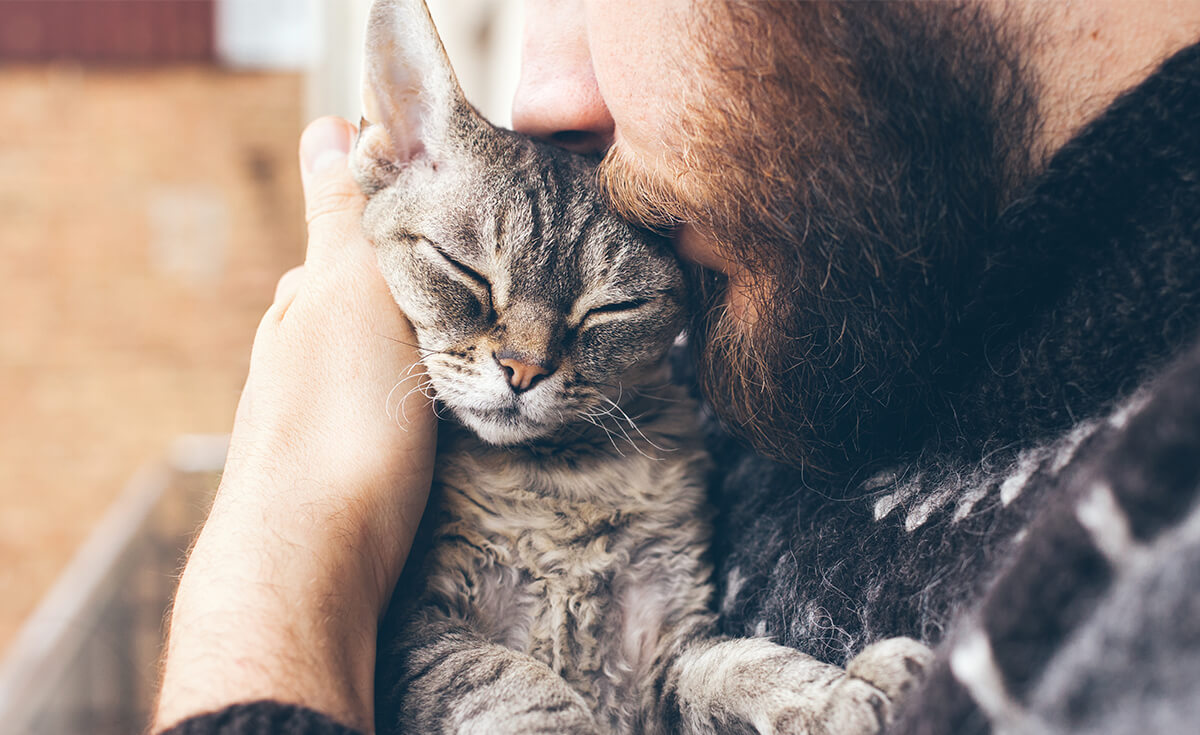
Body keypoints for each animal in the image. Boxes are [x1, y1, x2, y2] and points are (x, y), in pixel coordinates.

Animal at [350, 1, 931, 735]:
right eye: (465, 271)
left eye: (611, 307)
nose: (523, 369)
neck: (561, 483)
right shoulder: (412, 628)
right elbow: (506, 674)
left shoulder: (666, 644)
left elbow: (739, 663)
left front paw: (838, 692)